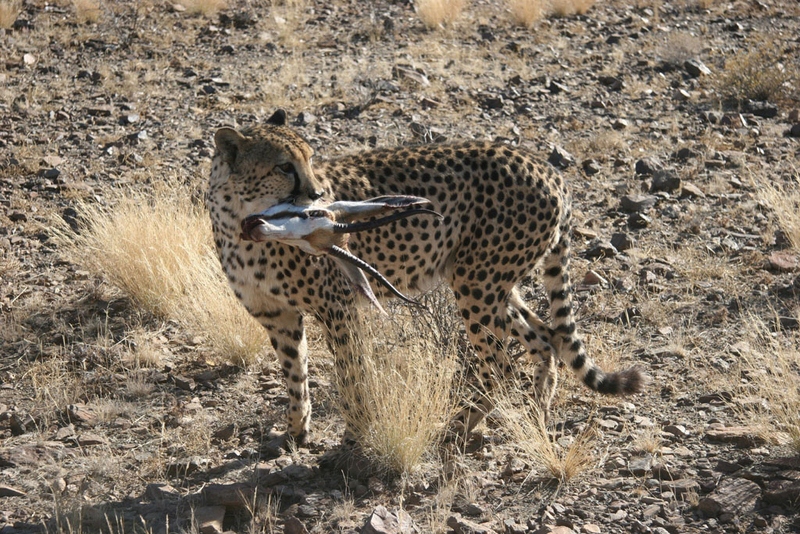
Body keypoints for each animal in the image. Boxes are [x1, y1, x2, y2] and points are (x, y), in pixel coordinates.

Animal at [206, 111, 644, 446]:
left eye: (310, 159)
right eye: (284, 166)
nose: (317, 196)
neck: (245, 221)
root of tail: (544, 166)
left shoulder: (337, 308)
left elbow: (351, 374)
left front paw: (356, 434)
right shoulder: (277, 316)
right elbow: (295, 375)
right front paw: (296, 433)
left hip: (476, 282)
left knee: (503, 367)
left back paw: (459, 424)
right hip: (486, 279)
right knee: (545, 337)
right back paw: (536, 412)